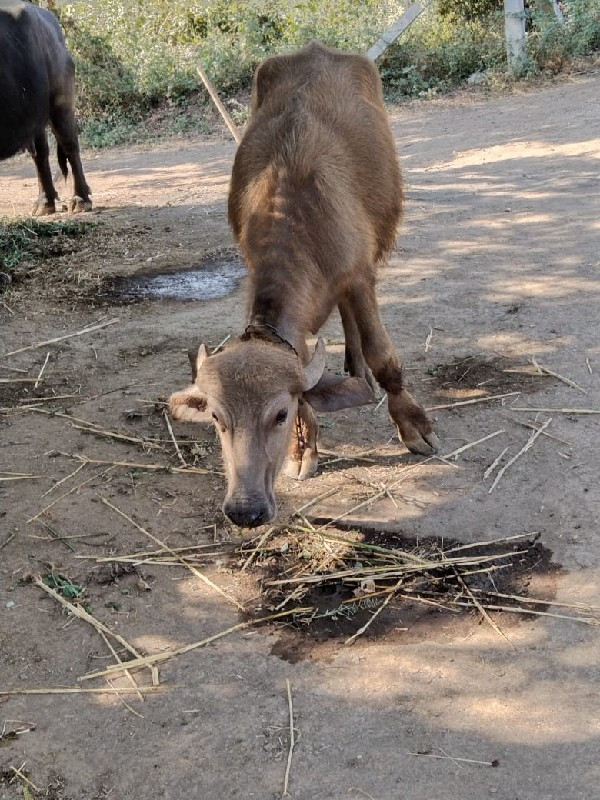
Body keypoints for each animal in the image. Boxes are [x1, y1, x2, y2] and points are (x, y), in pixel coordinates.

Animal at [0, 0, 91, 214]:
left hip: (62, 102)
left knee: (70, 145)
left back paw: (81, 199)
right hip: (35, 116)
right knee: (40, 153)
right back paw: (45, 201)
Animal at [171, 40, 438, 528]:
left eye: (278, 413)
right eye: (217, 418)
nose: (245, 509)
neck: (298, 217)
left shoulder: (359, 276)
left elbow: (384, 356)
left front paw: (414, 425)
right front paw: (303, 448)